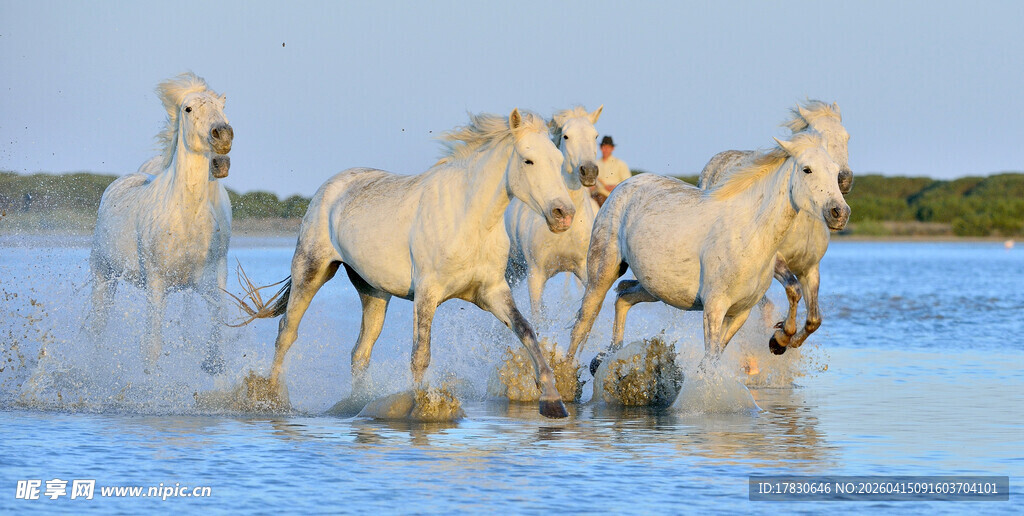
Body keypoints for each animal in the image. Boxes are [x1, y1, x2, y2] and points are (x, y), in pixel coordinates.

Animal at [87, 73, 233, 375]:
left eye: (222, 107)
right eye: (188, 109)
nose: (223, 136)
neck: (186, 219)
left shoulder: (210, 281)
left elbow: (217, 337)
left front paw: (211, 364)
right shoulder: (156, 284)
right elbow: (151, 348)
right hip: (103, 274)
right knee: (98, 327)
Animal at [234, 109, 576, 418]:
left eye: (559, 162)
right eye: (528, 160)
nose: (564, 214)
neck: (469, 221)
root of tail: (330, 187)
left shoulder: (491, 291)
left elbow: (527, 331)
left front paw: (552, 401)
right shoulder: (427, 292)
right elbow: (421, 353)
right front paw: (424, 407)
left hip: (372, 292)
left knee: (360, 351)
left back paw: (357, 404)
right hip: (311, 270)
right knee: (286, 332)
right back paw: (271, 399)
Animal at [567, 132, 850, 375]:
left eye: (835, 171)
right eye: (807, 169)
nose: (840, 213)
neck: (751, 232)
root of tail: (624, 185)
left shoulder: (740, 312)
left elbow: (711, 361)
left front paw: (778, 340)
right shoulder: (715, 307)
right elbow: (712, 357)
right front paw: (779, 340)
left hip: (654, 287)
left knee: (623, 297)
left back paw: (606, 358)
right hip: (602, 272)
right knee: (584, 322)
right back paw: (568, 377)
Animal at [698, 100, 852, 354]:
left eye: (847, 136)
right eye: (817, 135)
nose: (844, 180)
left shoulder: (810, 268)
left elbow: (814, 319)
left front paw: (791, 341)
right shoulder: (777, 261)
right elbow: (793, 290)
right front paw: (779, 339)